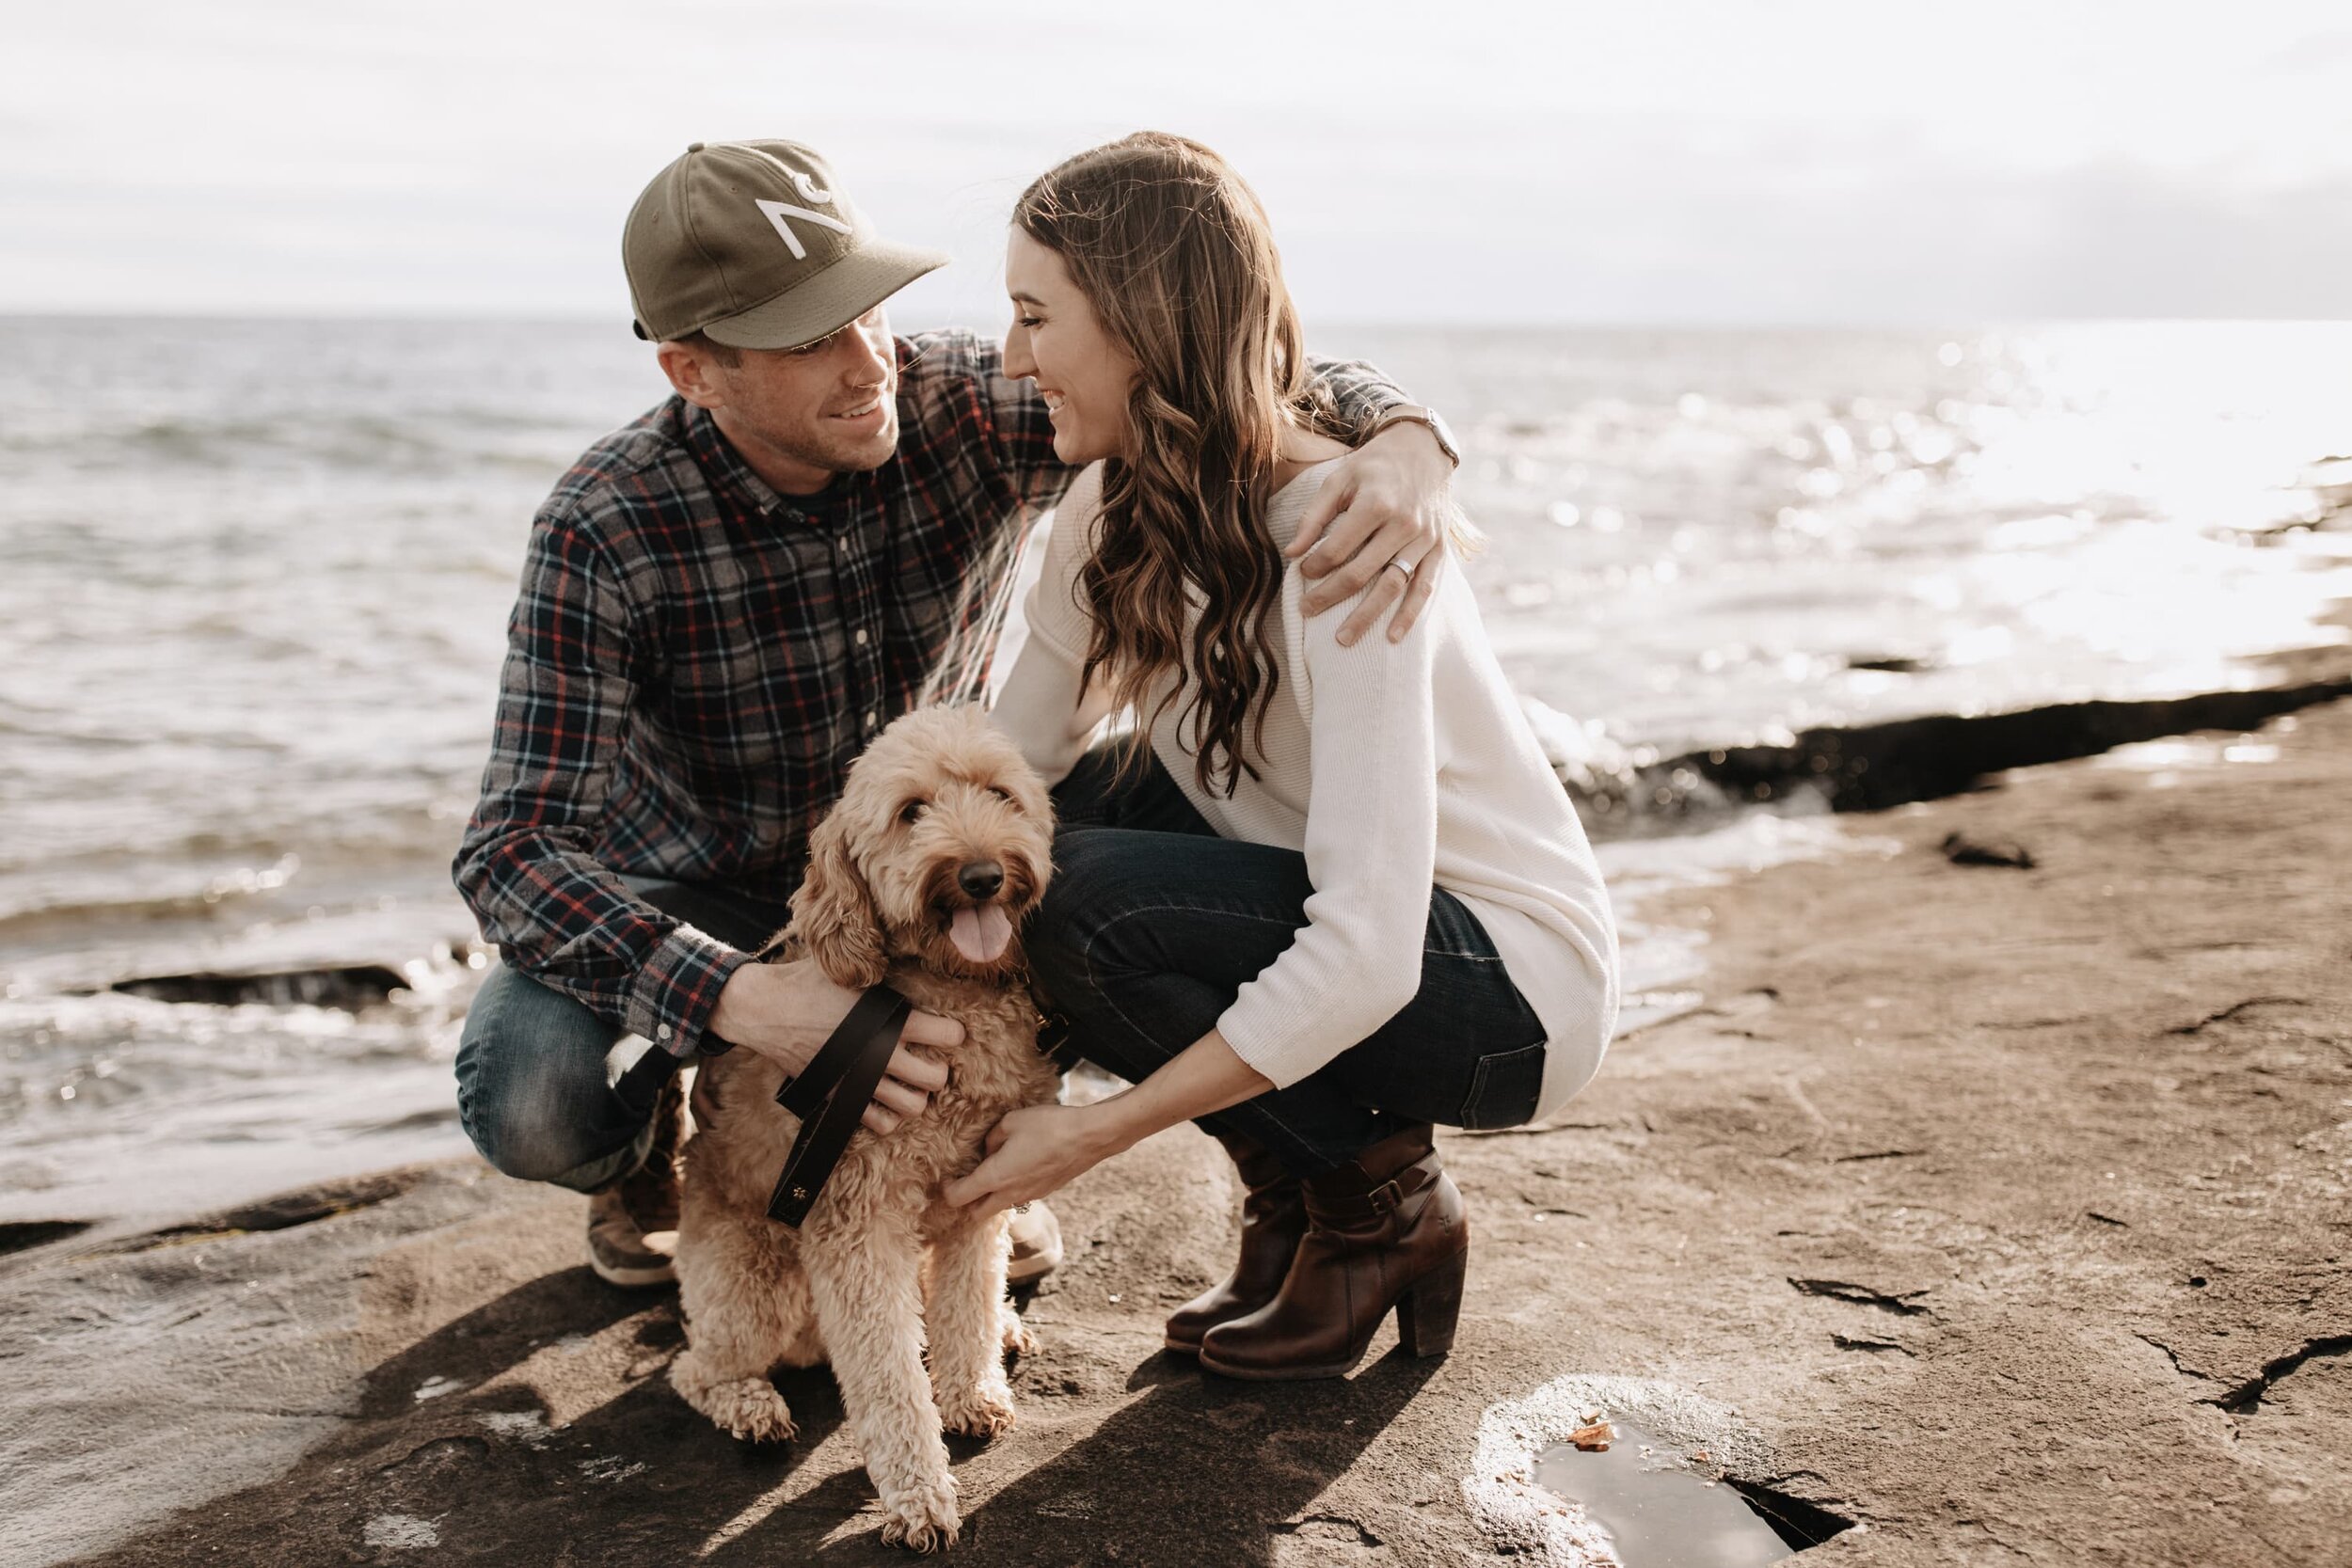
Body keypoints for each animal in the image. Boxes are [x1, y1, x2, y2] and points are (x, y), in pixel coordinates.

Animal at [673, 709, 1058, 1560]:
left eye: (999, 793)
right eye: (912, 811)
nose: (982, 874)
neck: (947, 990)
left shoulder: (977, 1200)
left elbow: (965, 1307)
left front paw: (972, 1390)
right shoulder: (855, 1224)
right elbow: (888, 1378)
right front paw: (918, 1497)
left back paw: (1007, 1329)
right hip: (756, 1282)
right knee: (693, 1367)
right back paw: (751, 1406)